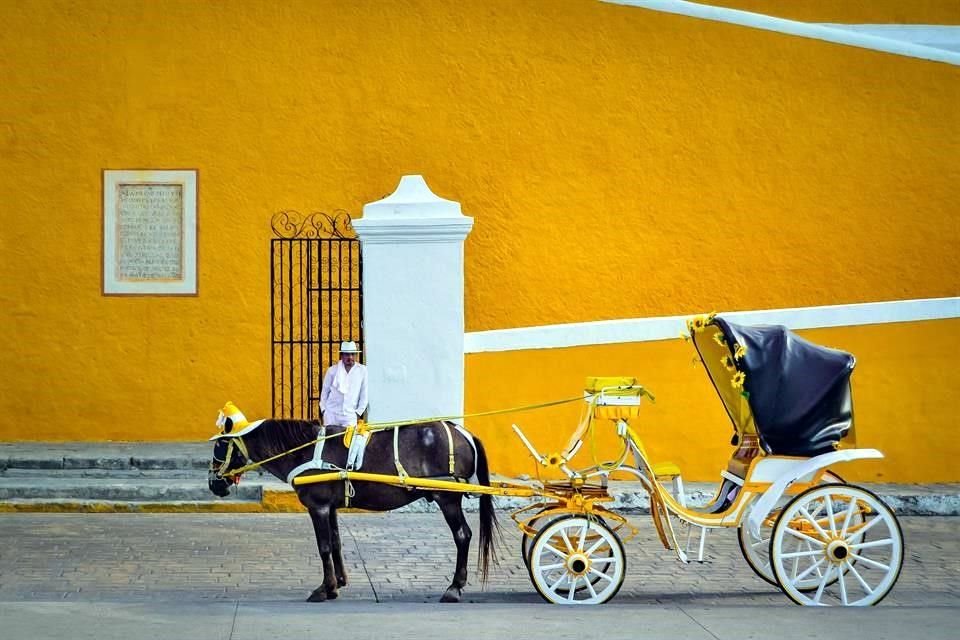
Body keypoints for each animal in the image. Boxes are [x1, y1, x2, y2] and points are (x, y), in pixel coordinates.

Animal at [207, 408, 498, 604]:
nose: (214, 483)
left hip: (447, 497)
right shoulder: (331, 506)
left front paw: (324, 589)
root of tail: (464, 432)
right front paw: (338, 583)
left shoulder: (318, 506)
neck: (303, 450)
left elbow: (323, 546)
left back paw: (454, 588)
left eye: (221, 443)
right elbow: (335, 542)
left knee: (462, 535)